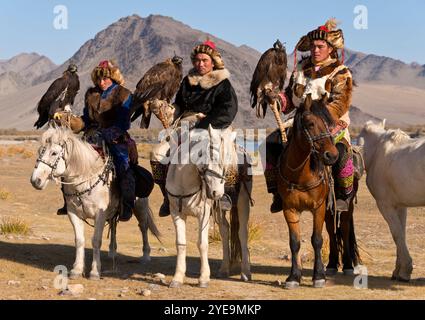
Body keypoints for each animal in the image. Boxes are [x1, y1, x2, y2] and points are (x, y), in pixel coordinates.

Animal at [29, 127, 159, 280]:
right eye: (40, 151)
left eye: (54, 153)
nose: (35, 180)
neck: (85, 180)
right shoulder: (73, 214)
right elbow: (79, 240)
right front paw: (77, 270)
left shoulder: (99, 215)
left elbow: (96, 240)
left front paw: (95, 272)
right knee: (114, 226)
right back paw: (112, 252)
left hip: (140, 207)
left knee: (143, 227)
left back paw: (145, 256)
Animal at [165, 124, 252, 288]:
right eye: (212, 157)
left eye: (228, 160)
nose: (217, 192)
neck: (185, 182)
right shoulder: (176, 213)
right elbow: (180, 243)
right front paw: (177, 278)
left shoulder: (203, 214)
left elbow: (202, 244)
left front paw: (204, 278)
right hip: (218, 210)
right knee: (225, 230)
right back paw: (224, 269)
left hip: (243, 202)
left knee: (242, 233)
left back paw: (245, 272)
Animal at [276, 94, 340, 288]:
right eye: (310, 124)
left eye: (328, 124)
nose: (332, 155)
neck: (300, 175)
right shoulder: (289, 209)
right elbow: (294, 242)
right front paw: (293, 277)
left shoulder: (318, 208)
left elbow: (317, 240)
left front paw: (318, 276)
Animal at [358, 121, 424, 282]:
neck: (376, 151)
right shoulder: (400, 206)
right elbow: (401, 234)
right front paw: (398, 271)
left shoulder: (385, 205)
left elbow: (396, 234)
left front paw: (405, 271)